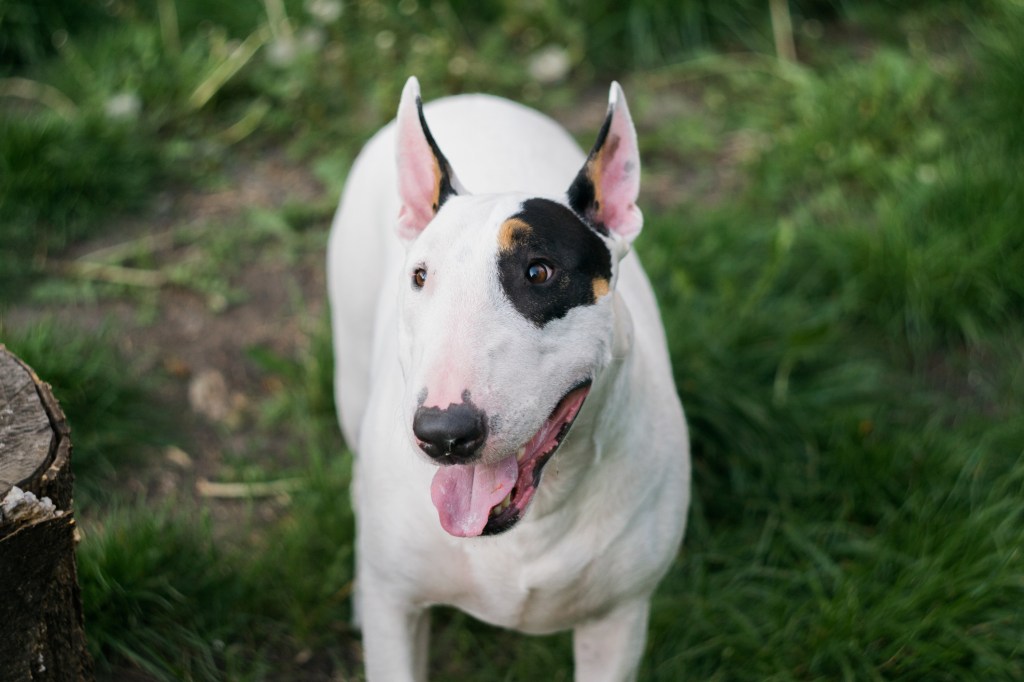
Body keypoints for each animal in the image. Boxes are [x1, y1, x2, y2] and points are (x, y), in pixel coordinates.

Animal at [325, 76, 696, 675]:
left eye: (539, 272)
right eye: (420, 276)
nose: (443, 434)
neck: (531, 524)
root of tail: (468, 97)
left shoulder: (618, 620)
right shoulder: (397, 610)